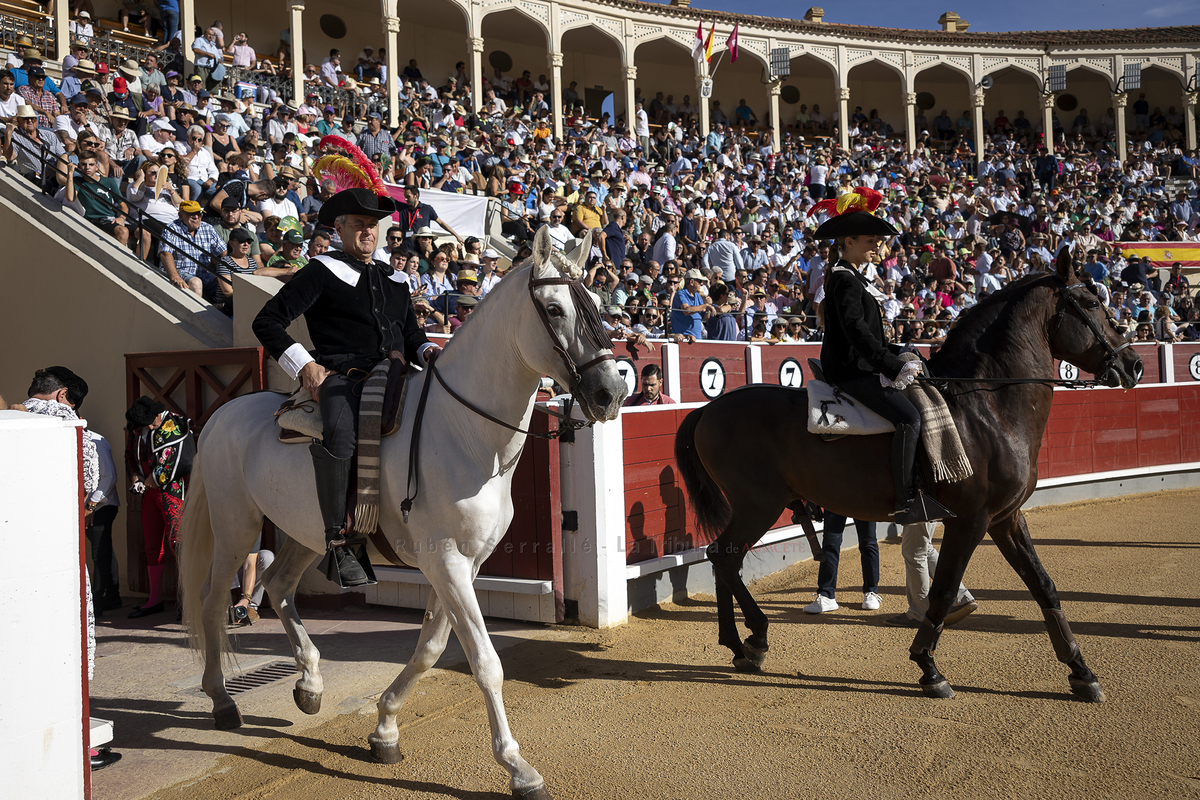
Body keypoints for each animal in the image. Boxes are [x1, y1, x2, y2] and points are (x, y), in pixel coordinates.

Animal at [182, 226, 628, 800]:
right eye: (553, 309)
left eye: (595, 303)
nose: (611, 392)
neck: (463, 432)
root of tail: (223, 416)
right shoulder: (446, 561)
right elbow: (485, 661)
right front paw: (518, 767)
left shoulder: (464, 565)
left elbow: (431, 649)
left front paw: (385, 728)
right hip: (235, 527)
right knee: (213, 601)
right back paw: (221, 699)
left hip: (307, 533)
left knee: (280, 587)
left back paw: (310, 684)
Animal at [676, 253, 1142, 705]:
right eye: (1092, 303)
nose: (1133, 364)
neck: (985, 408)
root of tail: (708, 409)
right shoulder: (970, 520)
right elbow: (943, 590)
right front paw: (928, 668)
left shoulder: (1006, 518)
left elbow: (1043, 585)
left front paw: (1081, 672)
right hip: (758, 504)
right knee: (724, 556)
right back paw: (749, 639)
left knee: (724, 558)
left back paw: (744, 644)